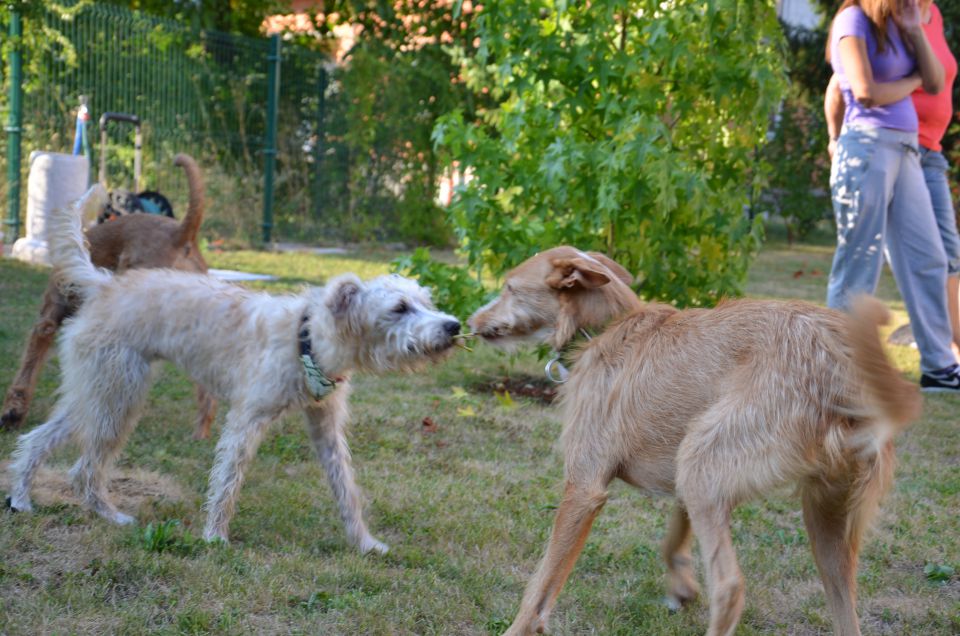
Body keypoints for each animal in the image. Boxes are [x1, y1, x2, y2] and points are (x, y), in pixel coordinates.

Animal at [5, 184, 460, 552]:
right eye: (399, 308)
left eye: (425, 301)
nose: (453, 326)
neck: (307, 338)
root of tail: (103, 284)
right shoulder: (246, 421)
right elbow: (227, 482)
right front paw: (215, 538)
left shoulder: (326, 429)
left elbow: (346, 491)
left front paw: (365, 543)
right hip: (117, 399)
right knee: (83, 468)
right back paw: (105, 514)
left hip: (99, 396)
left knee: (39, 441)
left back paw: (24, 498)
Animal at [470, 247, 924, 636]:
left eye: (509, 287)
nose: (469, 324)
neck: (607, 326)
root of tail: (840, 364)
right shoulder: (682, 482)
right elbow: (672, 538)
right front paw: (681, 587)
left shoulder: (585, 488)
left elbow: (541, 584)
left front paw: (518, 628)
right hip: (821, 517)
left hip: (704, 464)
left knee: (730, 588)